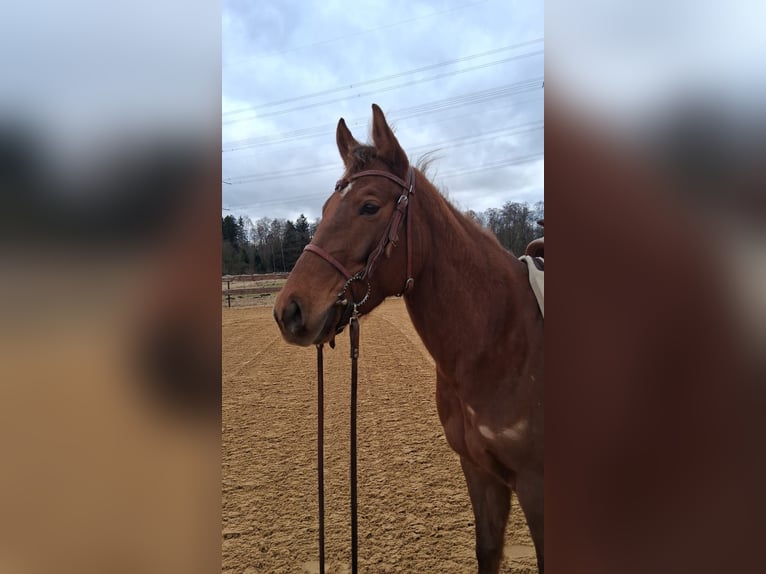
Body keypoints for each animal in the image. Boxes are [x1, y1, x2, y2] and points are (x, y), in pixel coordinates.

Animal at [273, 104, 544, 574]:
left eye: (369, 206)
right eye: (325, 207)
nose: (289, 310)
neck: (504, 338)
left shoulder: (537, 486)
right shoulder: (480, 472)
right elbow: (487, 551)